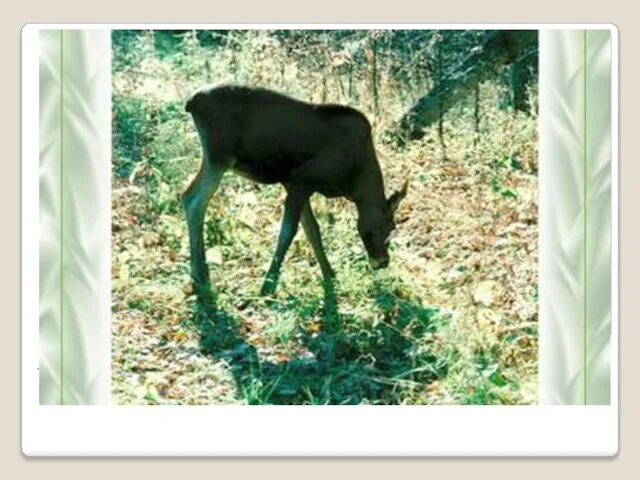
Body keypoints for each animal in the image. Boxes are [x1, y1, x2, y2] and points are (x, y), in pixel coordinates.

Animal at [182, 85, 408, 304]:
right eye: (389, 226)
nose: (382, 261)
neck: (354, 184)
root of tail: (191, 103)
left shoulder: (296, 185)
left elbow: (312, 231)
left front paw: (330, 276)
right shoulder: (301, 181)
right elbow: (288, 232)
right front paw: (268, 286)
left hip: (215, 160)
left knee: (186, 195)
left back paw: (200, 277)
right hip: (219, 158)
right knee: (195, 201)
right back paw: (200, 276)